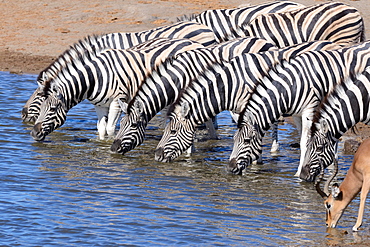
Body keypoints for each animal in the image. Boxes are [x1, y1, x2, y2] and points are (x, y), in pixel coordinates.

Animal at [110, 36, 278, 154]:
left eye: (133, 125)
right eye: (121, 123)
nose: (113, 149)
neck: (179, 77)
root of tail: (267, 42)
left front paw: (189, 151)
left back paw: (274, 148)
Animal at [227, 41, 370, 176]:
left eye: (247, 141)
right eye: (234, 138)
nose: (230, 168)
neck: (292, 86)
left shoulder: (310, 111)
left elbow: (305, 141)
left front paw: (298, 173)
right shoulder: (297, 114)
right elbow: (303, 142)